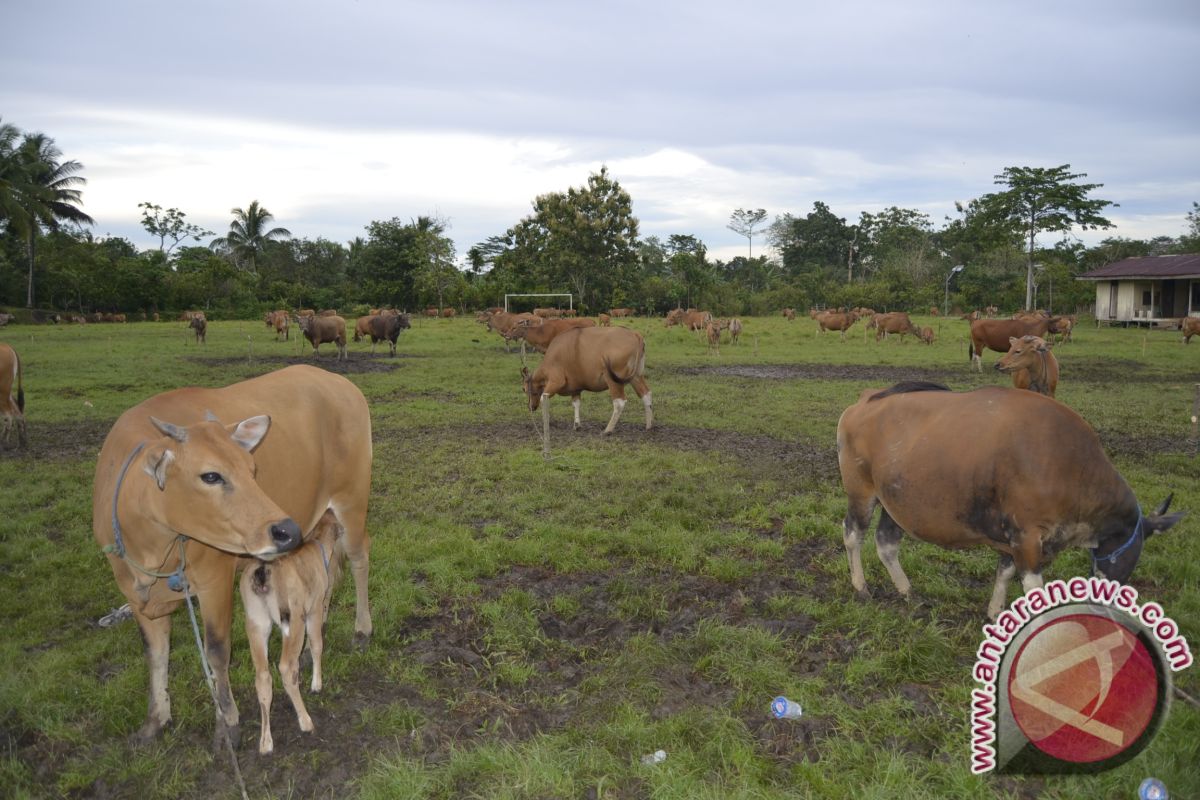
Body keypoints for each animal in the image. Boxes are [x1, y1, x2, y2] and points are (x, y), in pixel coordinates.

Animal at [238, 510, 343, 753]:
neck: (317, 545)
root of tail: (262, 571)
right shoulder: (314, 609)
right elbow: (316, 643)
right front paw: (316, 684)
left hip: (256, 622)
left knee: (262, 675)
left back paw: (266, 742)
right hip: (294, 620)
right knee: (285, 667)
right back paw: (305, 721)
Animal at [523, 326, 652, 455]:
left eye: (524, 389)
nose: (530, 407)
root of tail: (635, 334)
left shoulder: (556, 381)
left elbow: (543, 399)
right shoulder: (575, 388)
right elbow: (576, 404)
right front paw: (577, 425)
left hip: (613, 379)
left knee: (619, 402)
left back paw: (608, 430)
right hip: (636, 376)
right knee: (646, 394)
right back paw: (649, 426)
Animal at [840, 381, 1185, 618]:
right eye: (1130, 553)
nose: (1110, 603)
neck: (1069, 464)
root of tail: (865, 399)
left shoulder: (1012, 538)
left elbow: (1004, 573)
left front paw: (995, 612)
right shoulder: (1027, 537)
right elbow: (1034, 589)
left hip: (894, 500)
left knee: (886, 542)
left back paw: (907, 590)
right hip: (862, 493)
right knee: (853, 534)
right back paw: (860, 586)